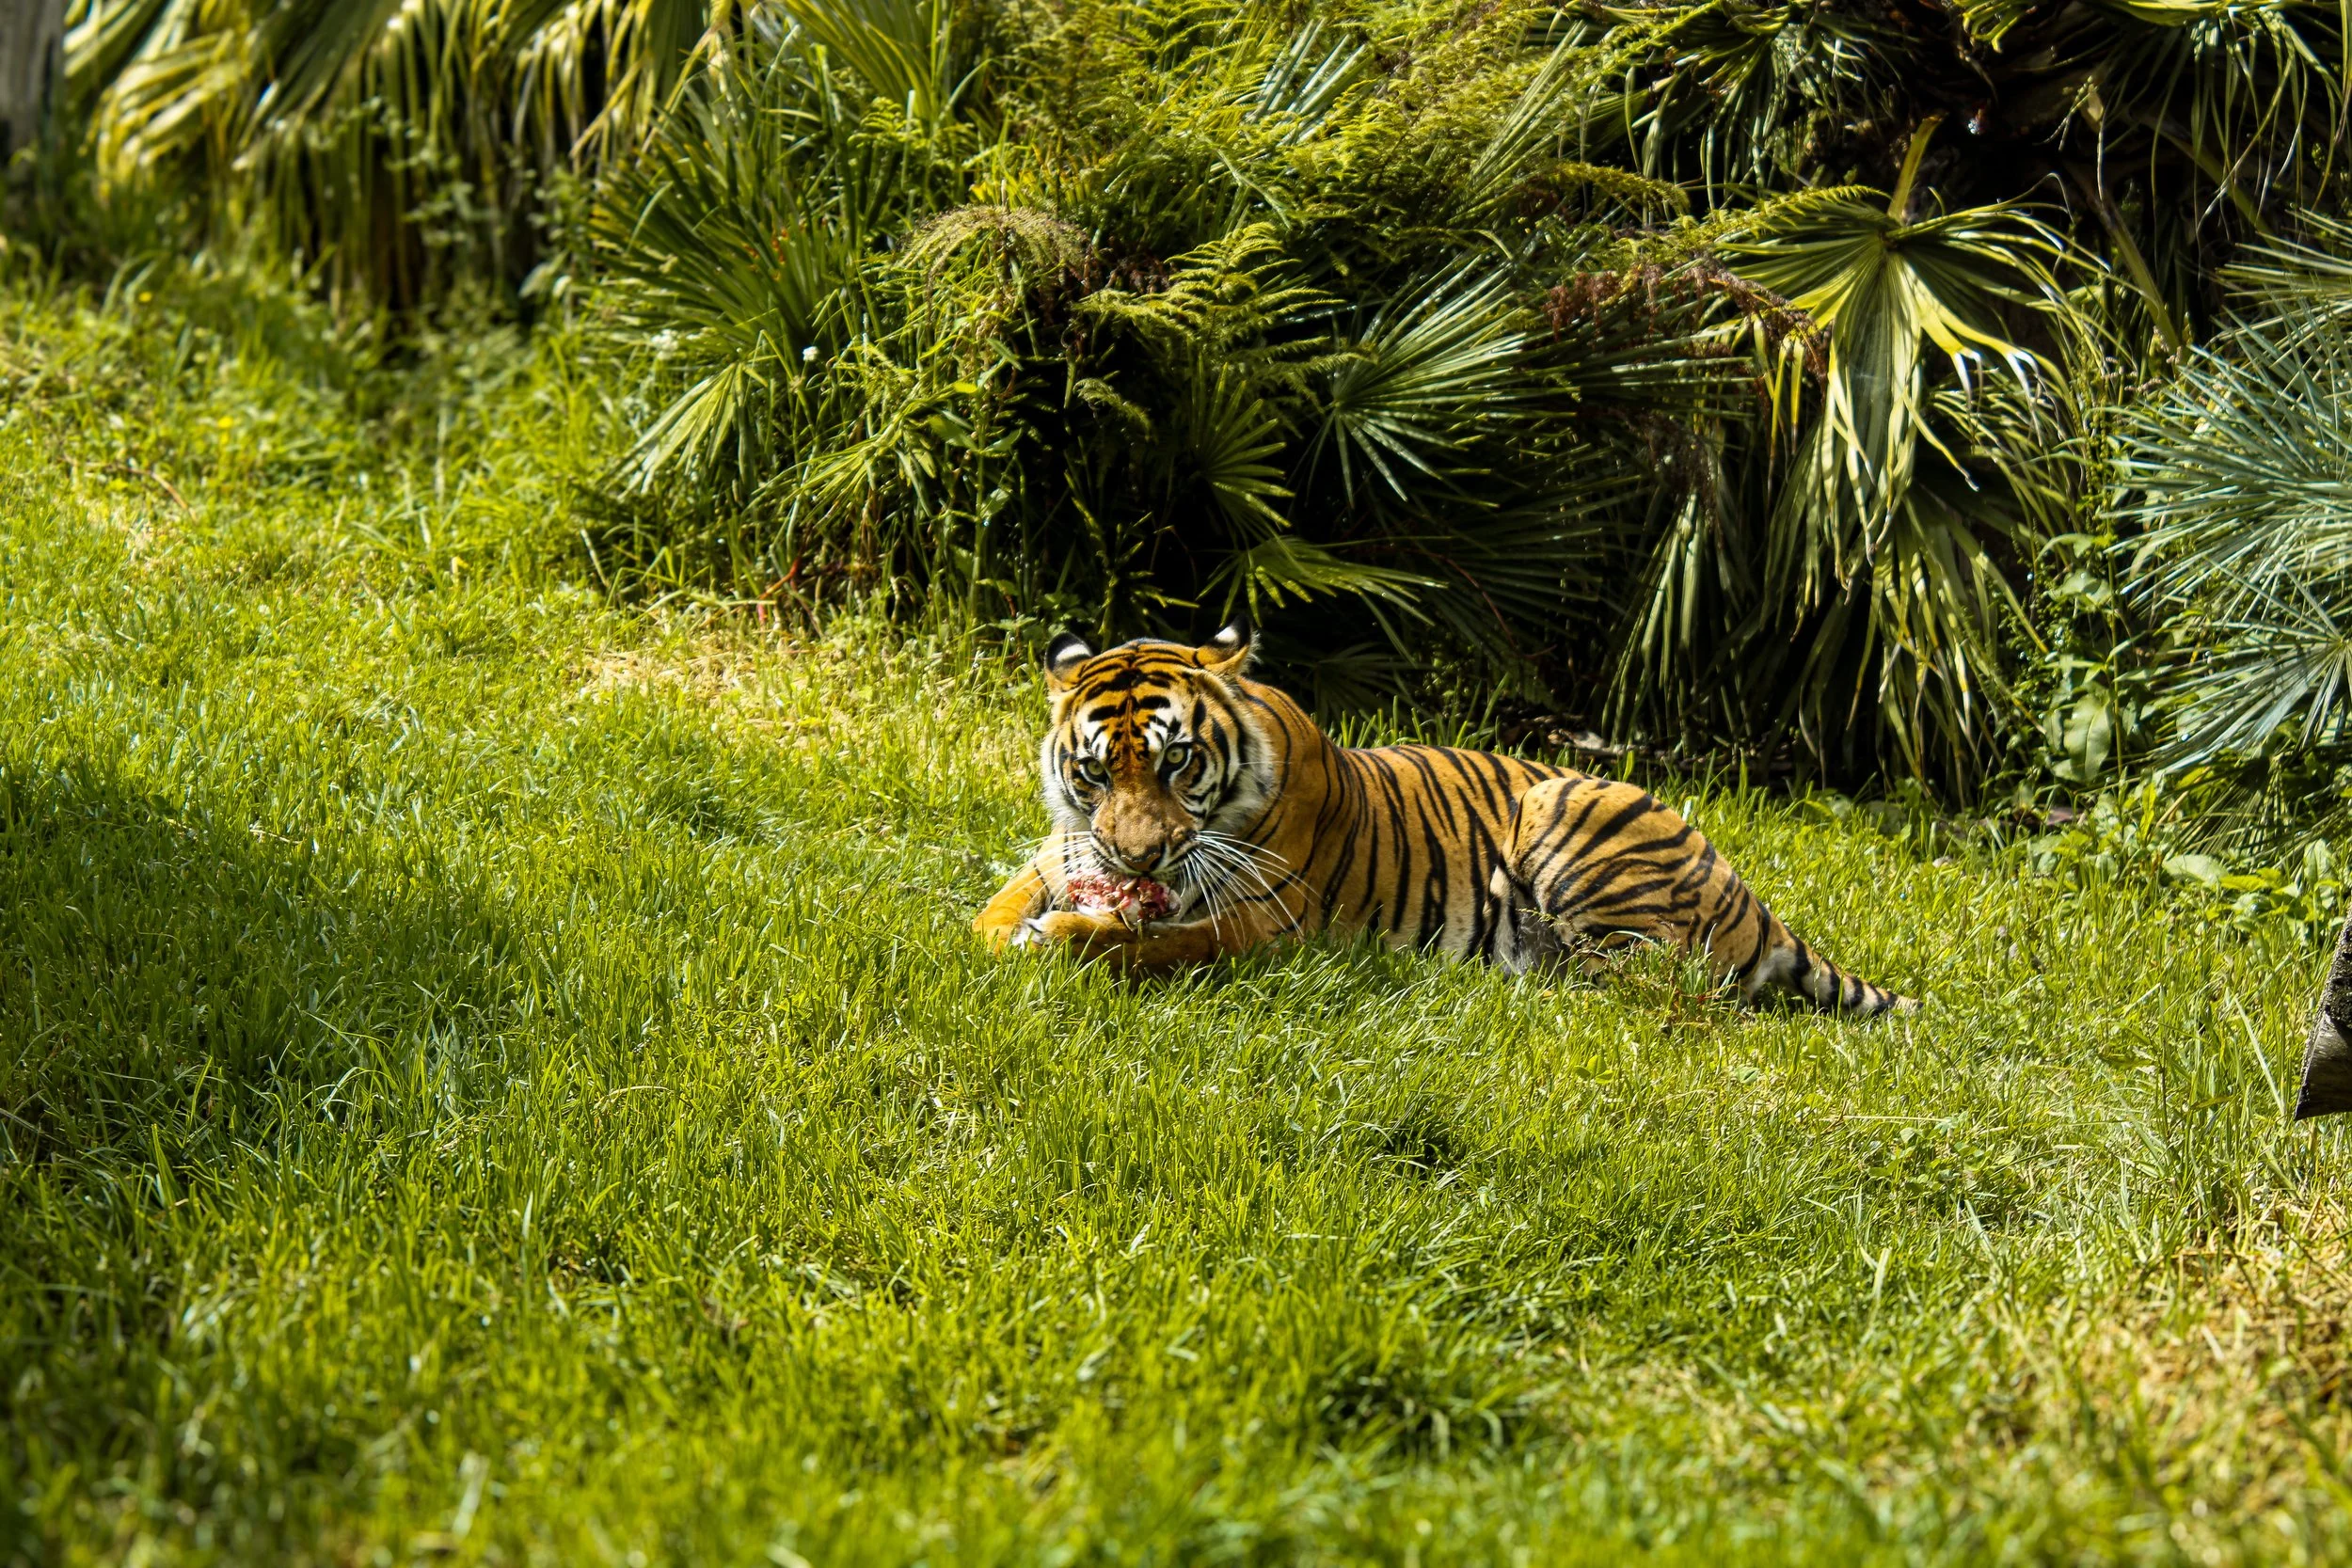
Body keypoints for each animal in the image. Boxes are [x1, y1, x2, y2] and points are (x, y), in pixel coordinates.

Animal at [975, 620, 1917, 1015]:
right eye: (1096, 771)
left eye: (1177, 759)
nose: (1137, 860)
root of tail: (1756, 901)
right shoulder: (1062, 847)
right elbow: (999, 905)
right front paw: (1001, 932)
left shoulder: (1266, 920)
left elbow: (1152, 945)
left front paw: (1058, 938)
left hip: (1567, 804)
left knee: (1666, 987)